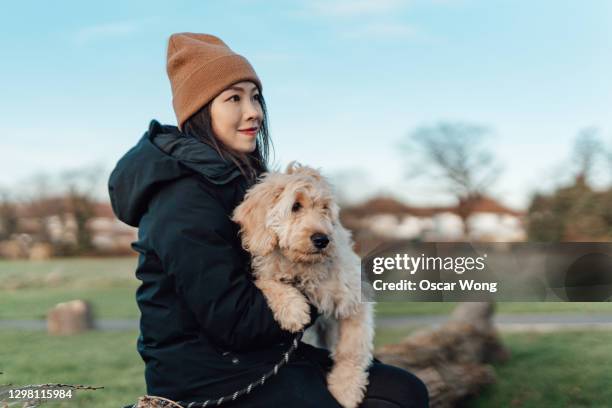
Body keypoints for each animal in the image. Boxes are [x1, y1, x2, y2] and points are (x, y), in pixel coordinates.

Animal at [232, 163, 376, 408]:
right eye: (295, 206)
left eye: (325, 208)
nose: (322, 240)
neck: (302, 267)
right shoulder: (266, 271)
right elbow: (268, 283)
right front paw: (293, 310)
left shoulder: (354, 297)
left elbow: (351, 349)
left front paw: (345, 389)